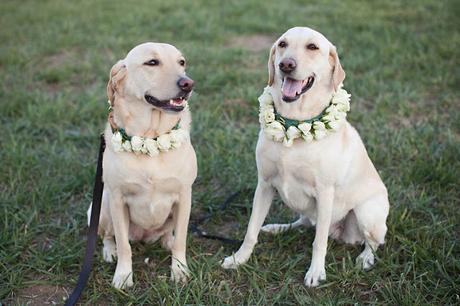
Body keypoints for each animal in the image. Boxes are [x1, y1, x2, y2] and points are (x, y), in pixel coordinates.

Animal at [87, 43, 197, 290]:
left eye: (182, 62)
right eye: (152, 63)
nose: (188, 83)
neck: (151, 137)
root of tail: (144, 237)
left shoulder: (184, 195)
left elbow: (182, 240)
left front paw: (179, 270)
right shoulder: (117, 199)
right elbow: (124, 245)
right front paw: (123, 275)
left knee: (169, 233)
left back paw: (167, 240)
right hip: (102, 206)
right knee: (109, 236)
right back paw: (110, 251)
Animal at [223, 27, 388, 288]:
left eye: (312, 47)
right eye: (282, 44)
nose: (286, 64)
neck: (295, 124)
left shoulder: (325, 193)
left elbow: (319, 242)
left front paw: (316, 272)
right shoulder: (264, 185)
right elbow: (251, 230)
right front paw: (239, 259)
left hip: (367, 212)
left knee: (372, 242)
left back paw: (365, 258)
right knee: (303, 222)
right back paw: (278, 228)